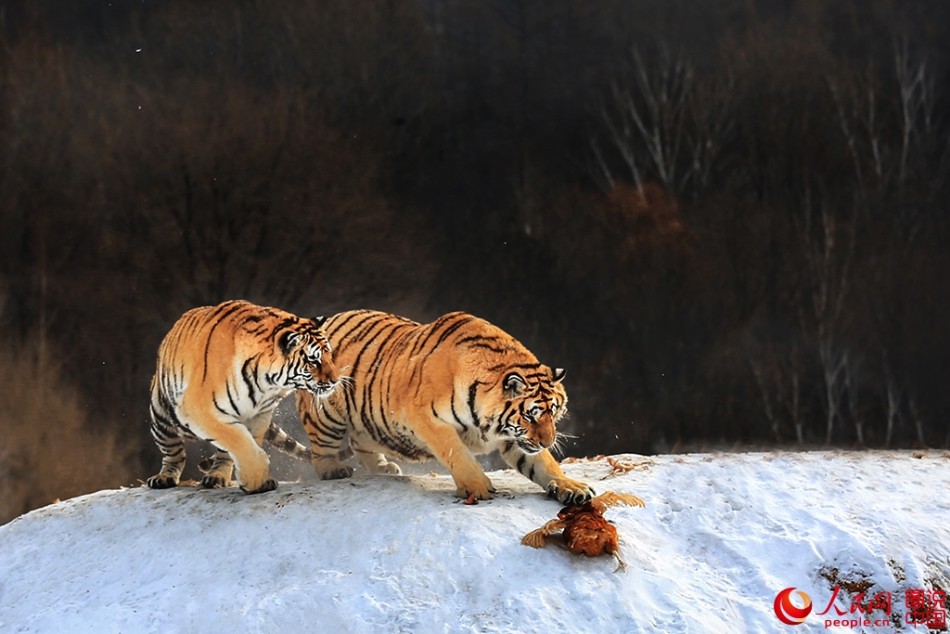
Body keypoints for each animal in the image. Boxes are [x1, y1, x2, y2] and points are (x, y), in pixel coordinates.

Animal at [146, 299, 340, 494]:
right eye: (313, 360)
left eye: (330, 355)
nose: (336, 380)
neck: (268, 386)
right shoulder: (199, 408)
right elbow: (240, 441)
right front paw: (255, 477)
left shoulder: (259, 414)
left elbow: (248, 442)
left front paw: (256, 481)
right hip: (161, 416)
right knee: (173, 453)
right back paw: (164, 478)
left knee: (222, 455)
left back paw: (217, 477)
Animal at [295, 310, 594, 504]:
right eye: (531, 416)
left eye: (554, 412)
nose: (548, 441)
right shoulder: (426, 418)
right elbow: (457, 453)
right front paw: (477, 486)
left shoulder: (515, 438)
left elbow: (544, 464)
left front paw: (571, 487)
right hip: (325, 411)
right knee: (322, 448)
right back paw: (333, 469)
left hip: (371, 420)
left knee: (360, 441)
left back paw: (384, 469)